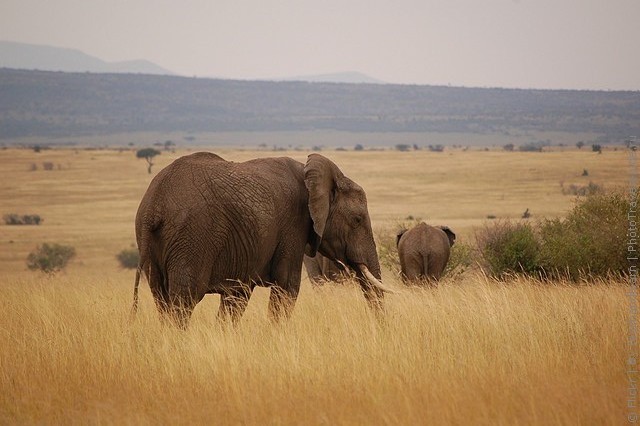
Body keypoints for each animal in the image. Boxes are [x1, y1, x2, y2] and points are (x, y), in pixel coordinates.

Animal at [131, 152, 392, 326]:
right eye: (357, 220)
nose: (380, 328)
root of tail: (154, 206)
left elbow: (236, 297)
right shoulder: (293, 224)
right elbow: (287, 286)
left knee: (162, 300)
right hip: (192, 237)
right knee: (183, 302)